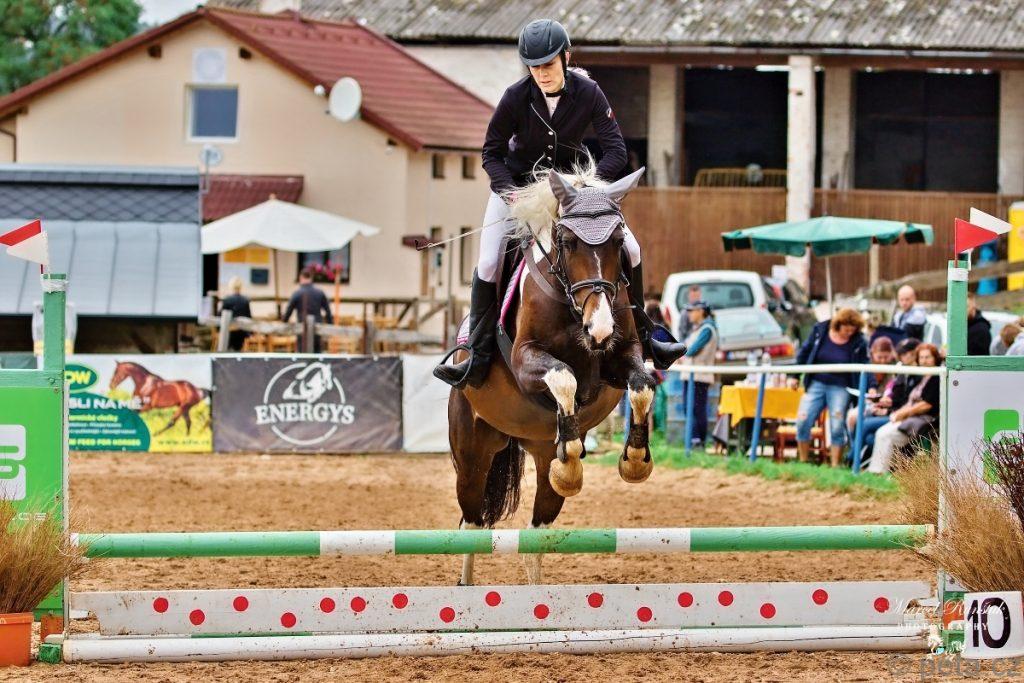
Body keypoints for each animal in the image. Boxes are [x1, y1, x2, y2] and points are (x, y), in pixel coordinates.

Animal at [448, 164, 658, 585]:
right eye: (568, 241)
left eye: (618, 242)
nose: (599, 329)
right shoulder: (526, 360)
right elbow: (565, 378)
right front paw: (576, 452)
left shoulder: (623, 354)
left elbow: (642, 386)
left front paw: (634, 460)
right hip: (473, 451)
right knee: (472, 523)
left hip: (539, 453)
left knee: (535, 532)